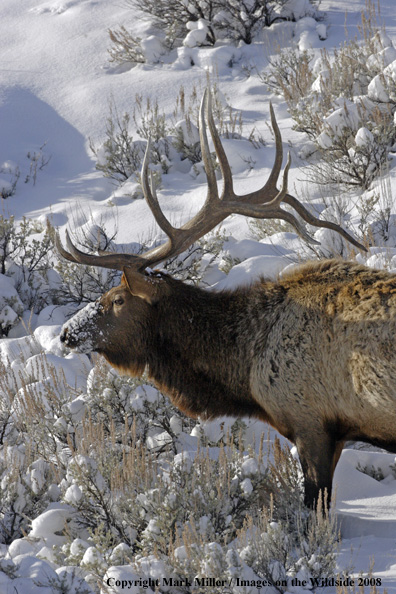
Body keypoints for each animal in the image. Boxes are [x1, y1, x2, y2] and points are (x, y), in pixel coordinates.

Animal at [55, 90, 392, 506]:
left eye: (117, 299)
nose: (66, 332)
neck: (244, 373)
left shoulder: (310, 421)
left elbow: (316, 507)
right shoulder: (337, 432)